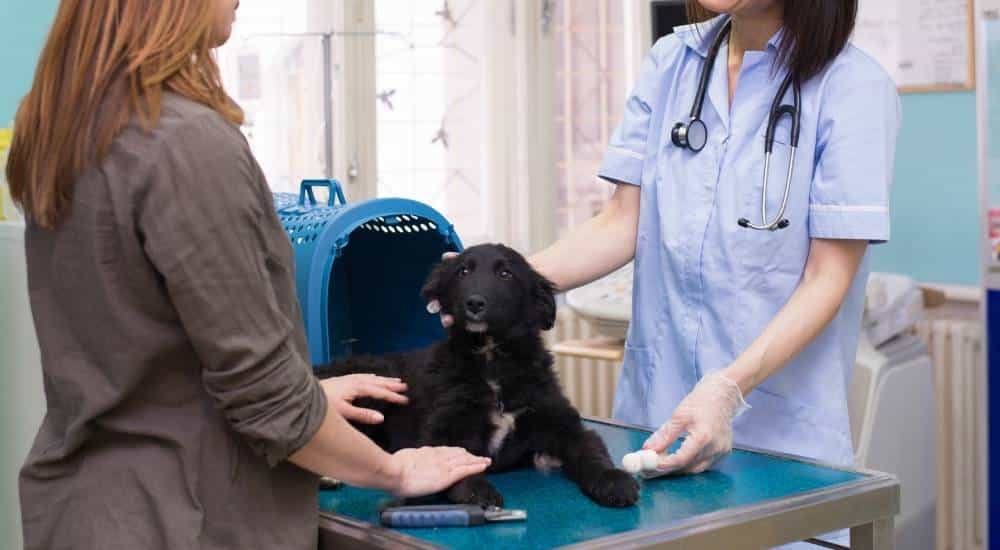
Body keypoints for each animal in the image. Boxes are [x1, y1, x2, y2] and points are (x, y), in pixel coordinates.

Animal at [316, 245, 636, 508]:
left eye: (506, 273)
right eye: (463, 271)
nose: (474, 303)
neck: (491, 361)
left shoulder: (563, 423)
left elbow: (590, 448)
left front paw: (613, 479)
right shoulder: (444, 429)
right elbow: (456, 459)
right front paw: (476, 490)